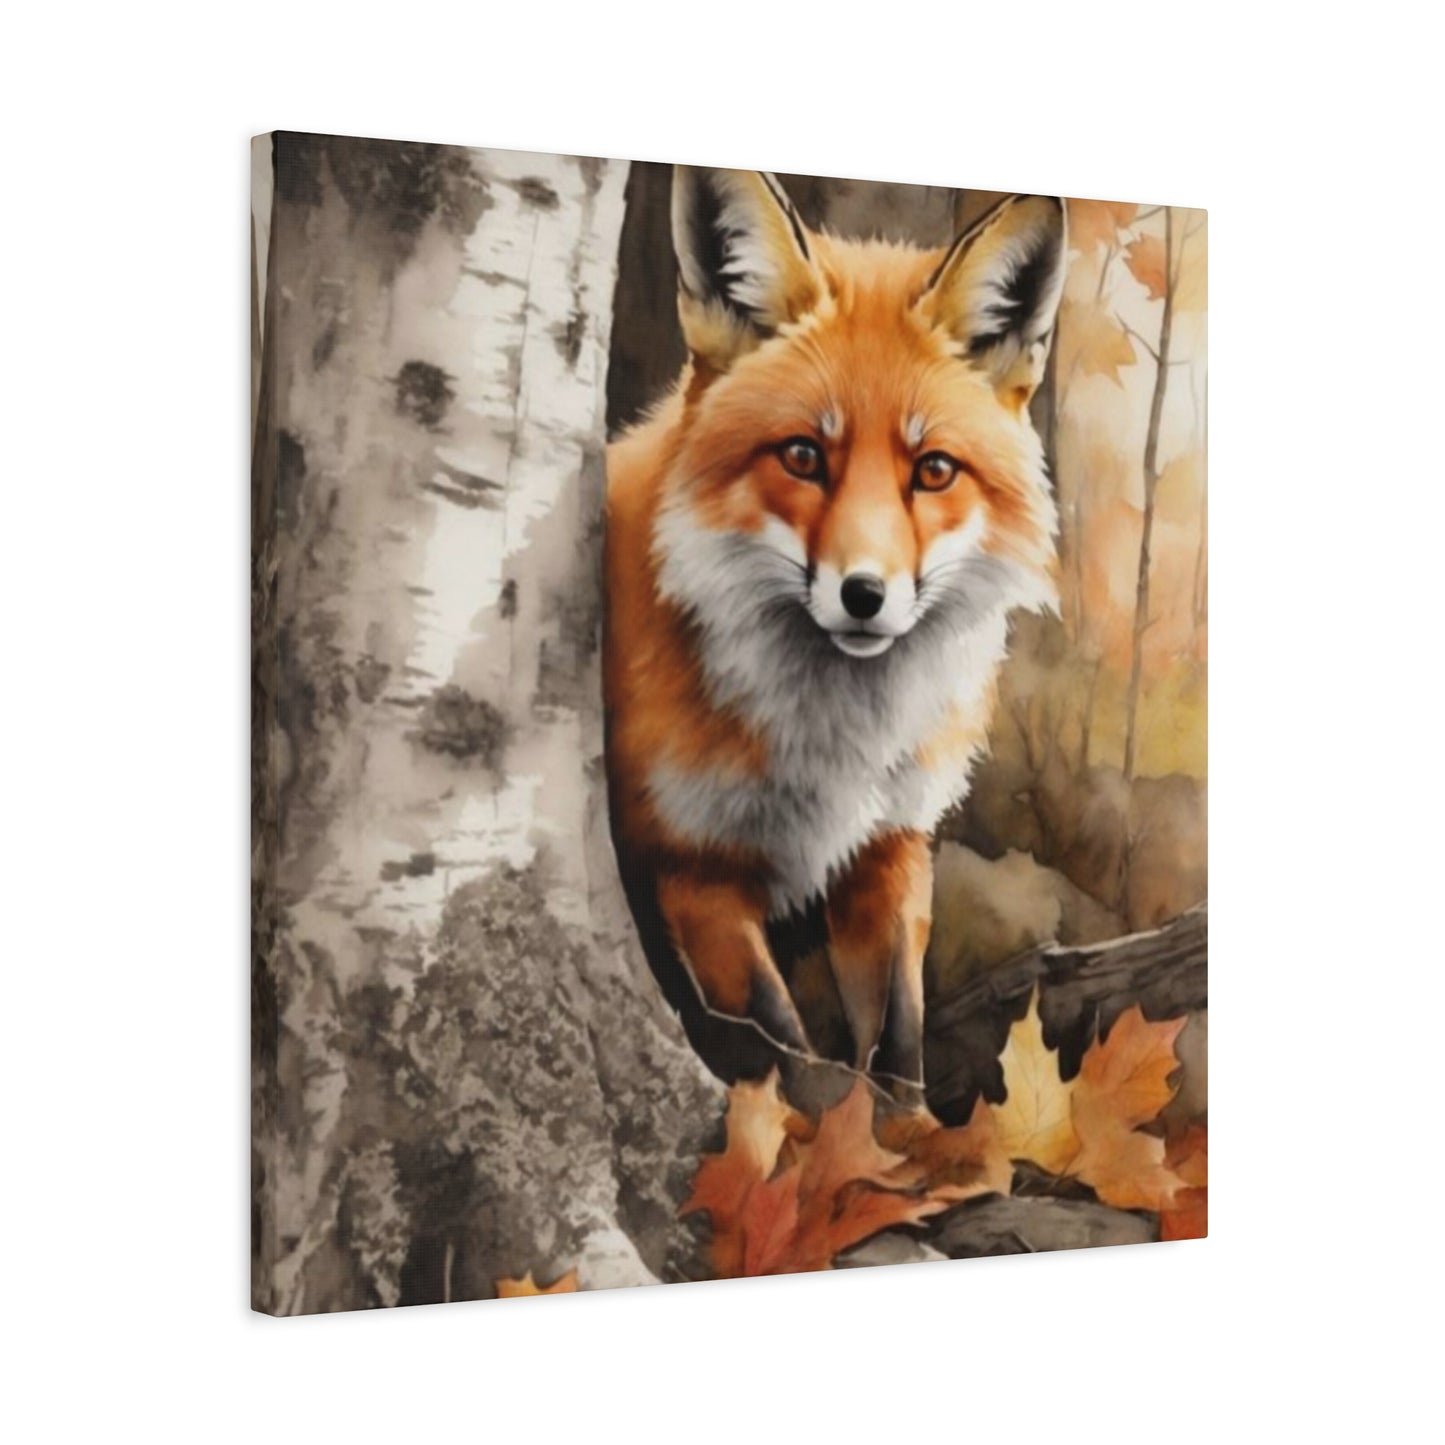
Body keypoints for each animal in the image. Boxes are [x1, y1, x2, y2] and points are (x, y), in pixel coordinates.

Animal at [604, 167, 1064, 1097]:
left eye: (933, 471)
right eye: (803, 456)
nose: (863, 594)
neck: (835, 744)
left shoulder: (890, 848)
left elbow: (896, 1045)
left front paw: (912, 1132)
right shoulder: (693, 869)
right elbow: (794, 1060)